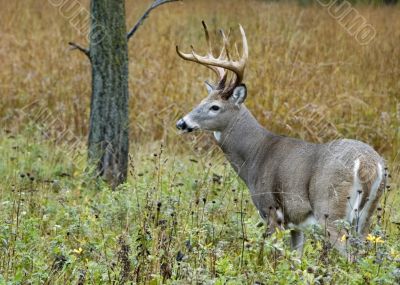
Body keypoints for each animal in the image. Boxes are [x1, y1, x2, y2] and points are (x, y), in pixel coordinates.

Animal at [176, 22, 388, 253]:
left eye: (215, 107)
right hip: (366, 216)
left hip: (331, 210)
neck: (255, 155)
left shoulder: (271, 211)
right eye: (202, 101)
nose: (182, 123)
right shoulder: (297, 224)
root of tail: (368, 163)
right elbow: (296, 257)